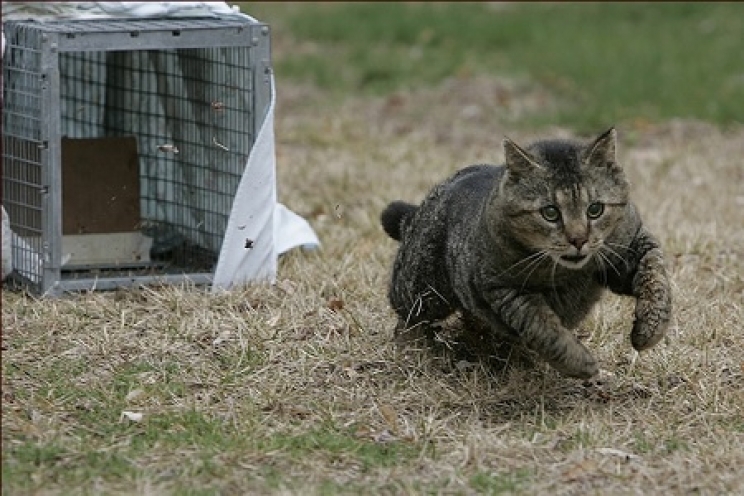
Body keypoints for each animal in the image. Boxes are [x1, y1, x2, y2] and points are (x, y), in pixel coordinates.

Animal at [380, 129, 672, 380]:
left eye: (595, 209)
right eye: (550, 212)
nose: (578, 239)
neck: (568, 272)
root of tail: (417, 211)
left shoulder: (633, 246)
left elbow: (657, 280)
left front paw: (649, 329)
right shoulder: (505, 291)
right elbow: (545, 329)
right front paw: (580, 363)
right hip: (421, 290)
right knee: (405, 316)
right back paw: (413, 350)